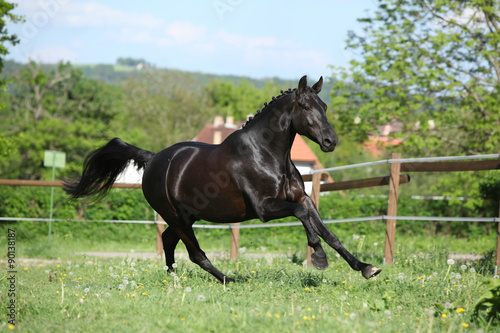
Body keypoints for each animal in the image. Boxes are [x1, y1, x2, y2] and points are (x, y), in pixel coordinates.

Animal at [64, 76, 380, 282]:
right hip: (175, 216)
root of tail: (153, 159)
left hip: (186, 216)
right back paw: (229, 279)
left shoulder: (301, 198)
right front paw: (319, 258)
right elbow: (304, 218)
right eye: (305, 106)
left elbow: (328, 232)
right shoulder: (265, 208)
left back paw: (173, 278)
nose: (330, 141)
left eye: (324, 106)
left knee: (168, 241)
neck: (266, 153)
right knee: (195, 253)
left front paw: (366, 267)